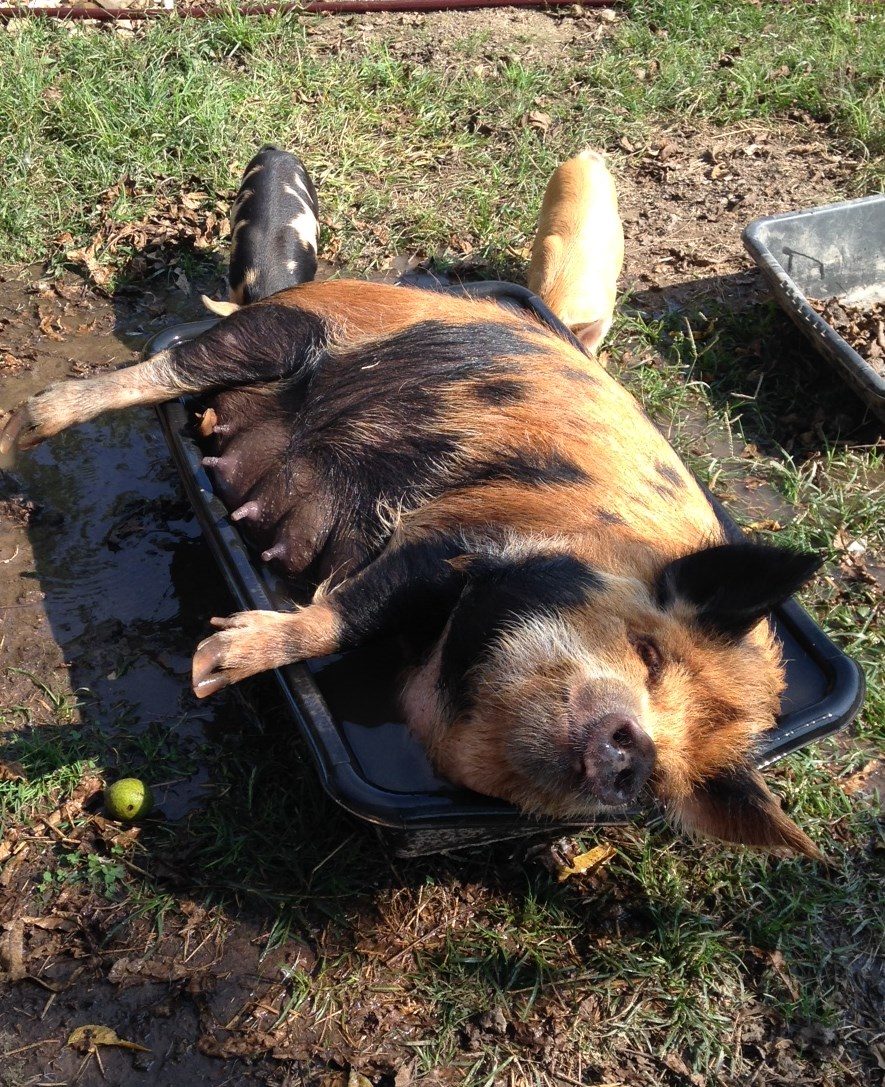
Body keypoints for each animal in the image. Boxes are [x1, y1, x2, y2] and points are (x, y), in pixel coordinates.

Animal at [0, 278, 823, 858]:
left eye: (661, 783)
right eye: (649, 654)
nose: (635, 754)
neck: (439, 663)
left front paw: (213, 661)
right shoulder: (465, 530)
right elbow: (349, 609)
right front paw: (210, 667)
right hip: (288, 326)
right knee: (171, 363)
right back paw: (30, 423)